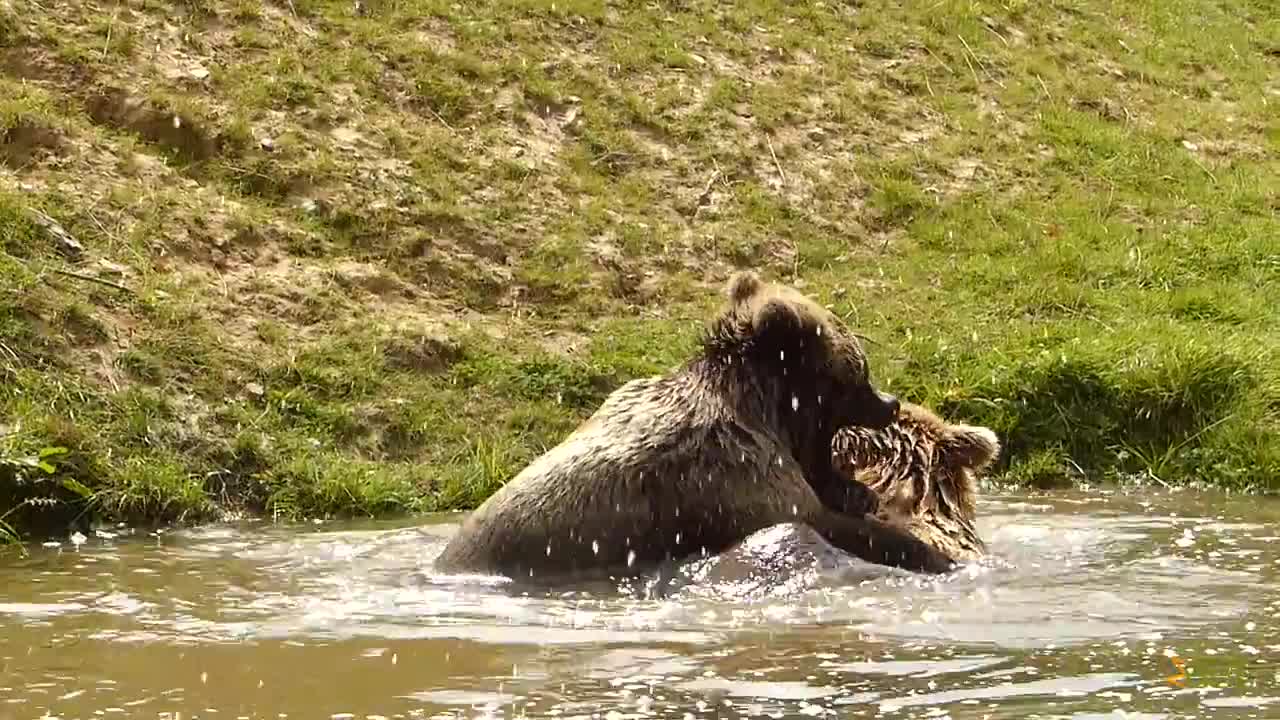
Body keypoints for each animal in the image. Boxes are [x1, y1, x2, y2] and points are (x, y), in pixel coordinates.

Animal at [432, 271, 962, 579]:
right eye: (857, 373)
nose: (890, 402)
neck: (764, 412)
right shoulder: (736, 482)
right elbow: (829, 523)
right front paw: (931, 553)